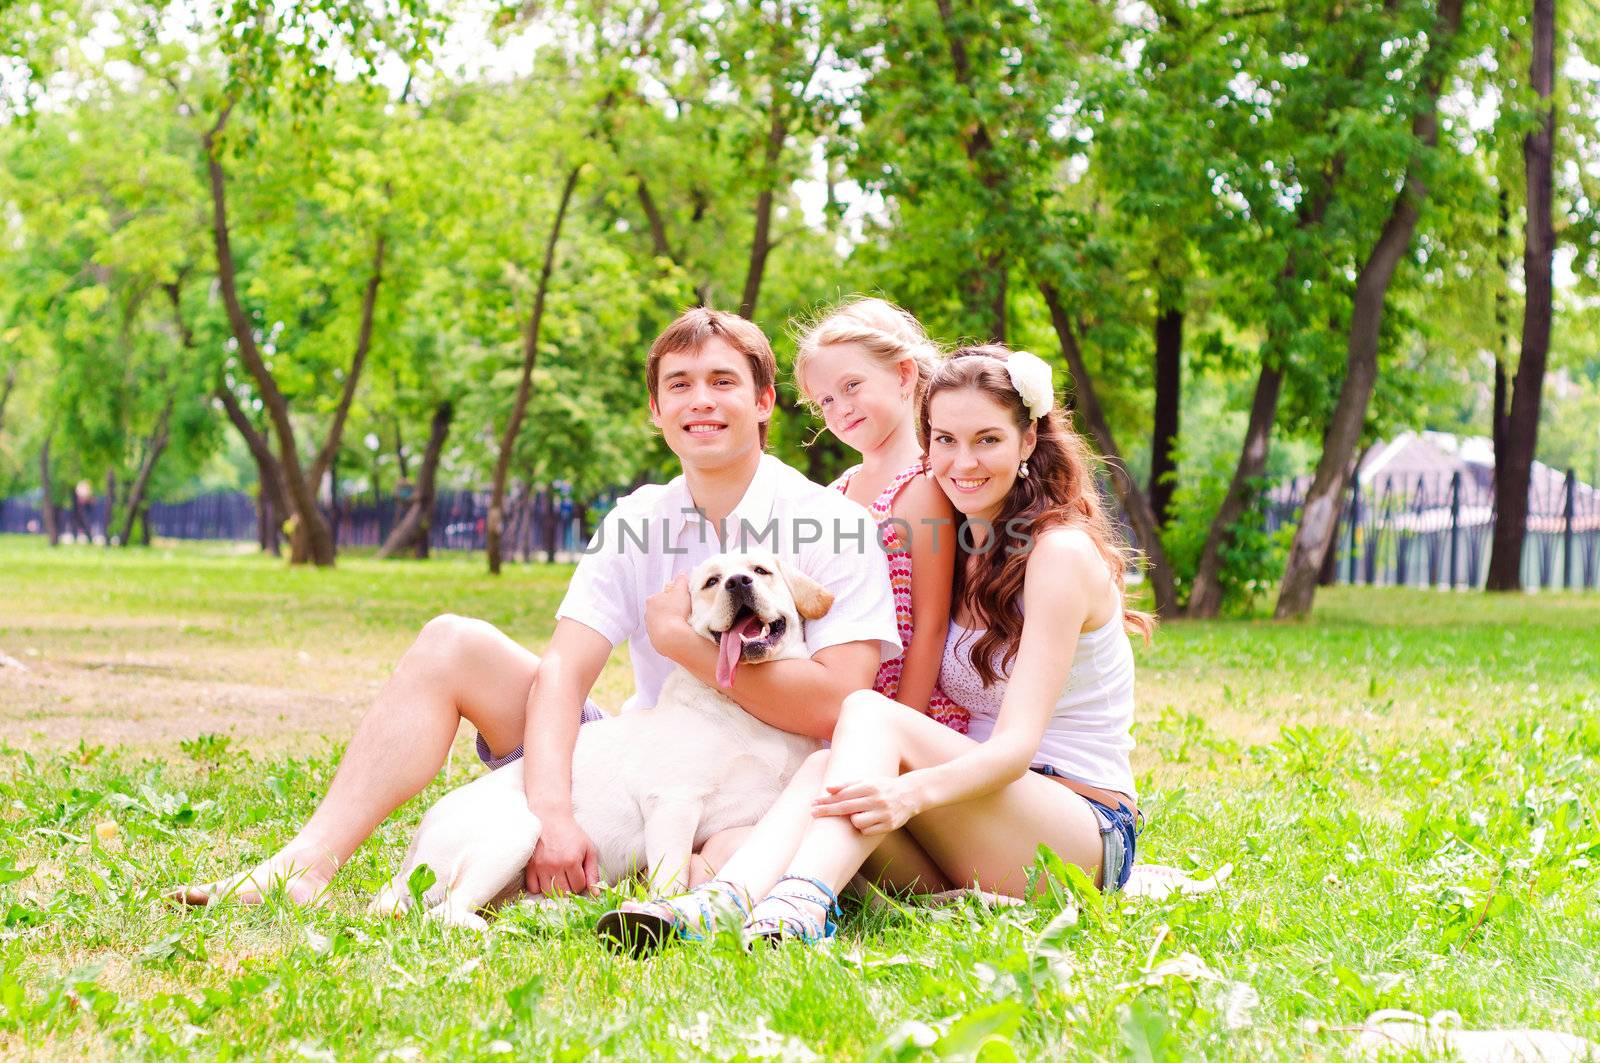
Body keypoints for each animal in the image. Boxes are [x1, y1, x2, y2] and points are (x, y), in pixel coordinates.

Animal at [368, 550, 832, 928]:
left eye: (761, 571)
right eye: (712, 582)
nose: (738, 582)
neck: (748, 714)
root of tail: (411, 856)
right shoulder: (672, 804)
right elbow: (673, 878)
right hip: (520, 828)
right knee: (446, 913)